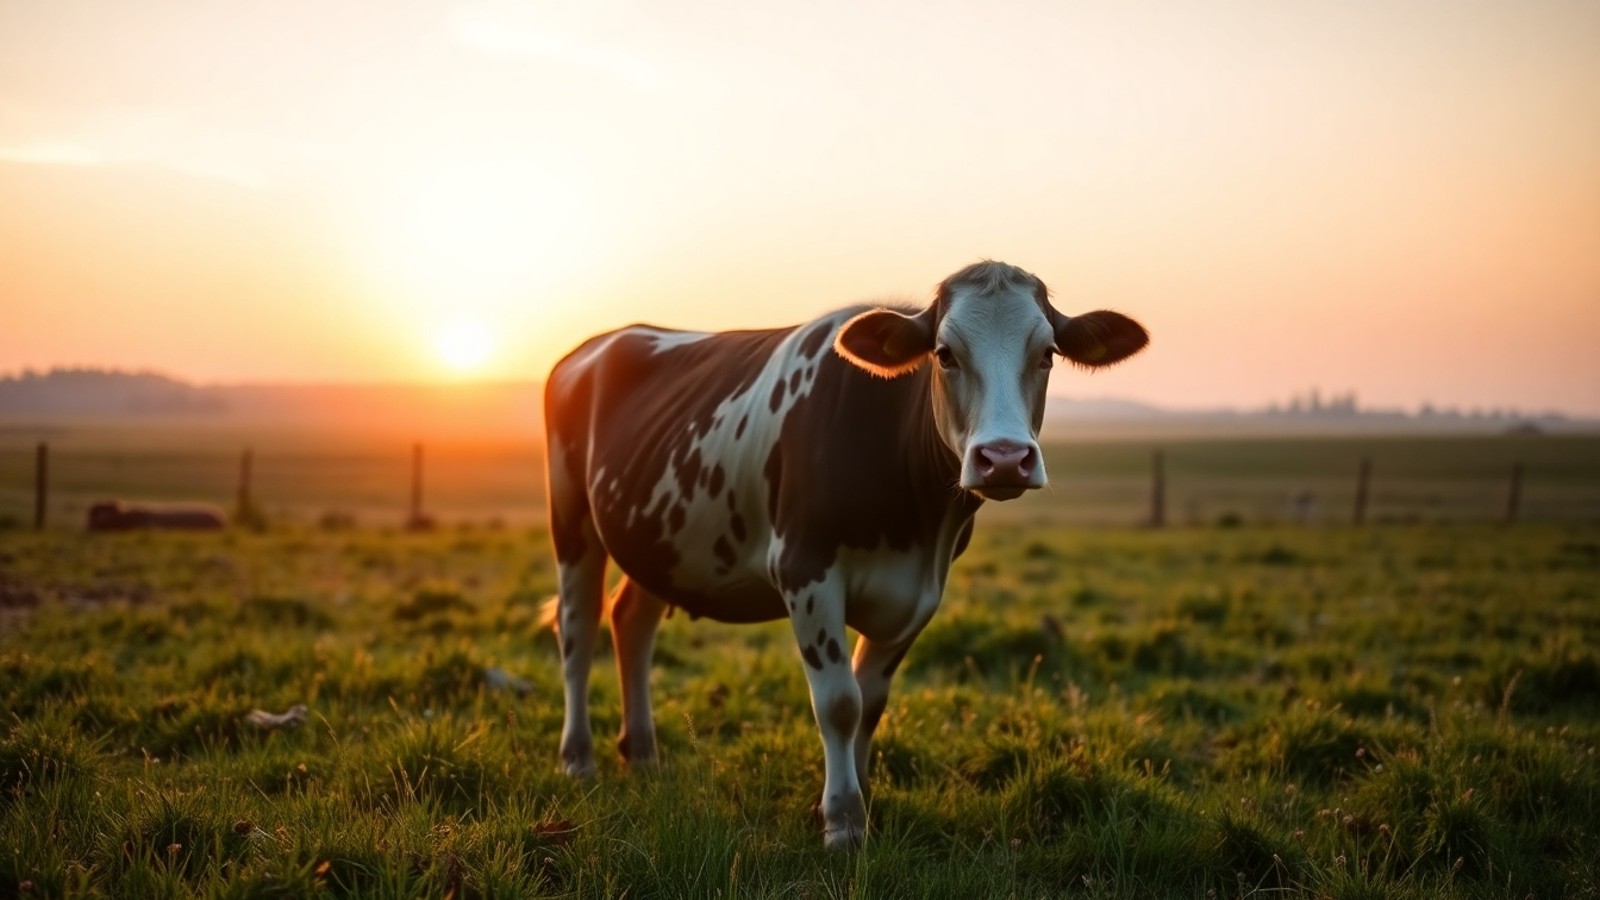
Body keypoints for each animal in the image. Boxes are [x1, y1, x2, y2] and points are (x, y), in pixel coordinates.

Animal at [542, 260, 1148, 849]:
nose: (1003, 458)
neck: (914, 524)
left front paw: (858, 798)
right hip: (572, 519)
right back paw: (578, 758)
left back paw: (644, 756)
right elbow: (839, 702)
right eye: (944, 354)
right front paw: (843, 820)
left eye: (1047, 353)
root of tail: (602, 342)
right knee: (578, 628)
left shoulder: (921, 590)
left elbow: (870, 703)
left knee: (631, 620)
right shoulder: (804, 569)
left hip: (658, 538)